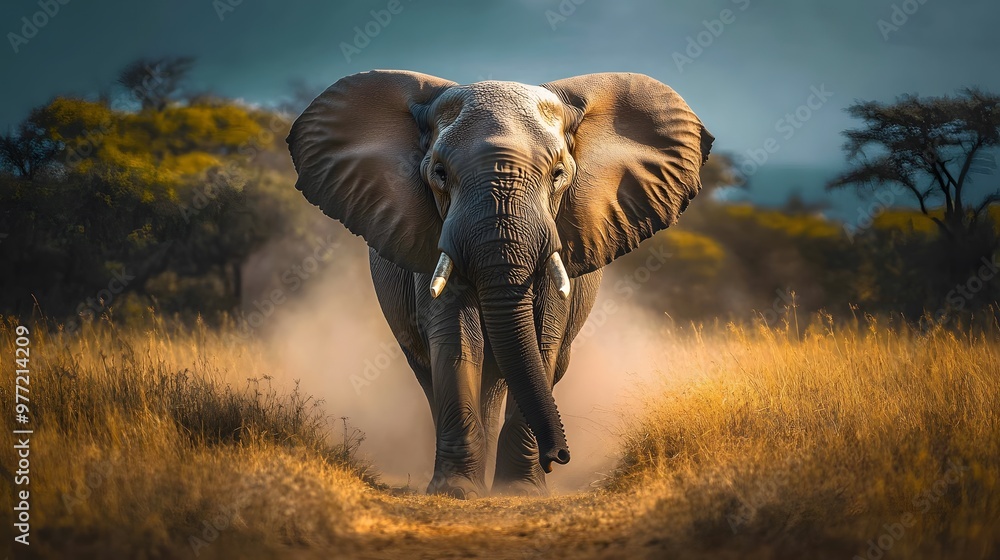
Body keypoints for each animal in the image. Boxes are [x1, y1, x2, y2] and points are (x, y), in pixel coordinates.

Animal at [287, 70, 712, 498]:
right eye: (440, 173)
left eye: (558, 174)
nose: (559, 456)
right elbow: (457, 339)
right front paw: (455, 490)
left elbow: (542, 341)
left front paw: (519, 491)